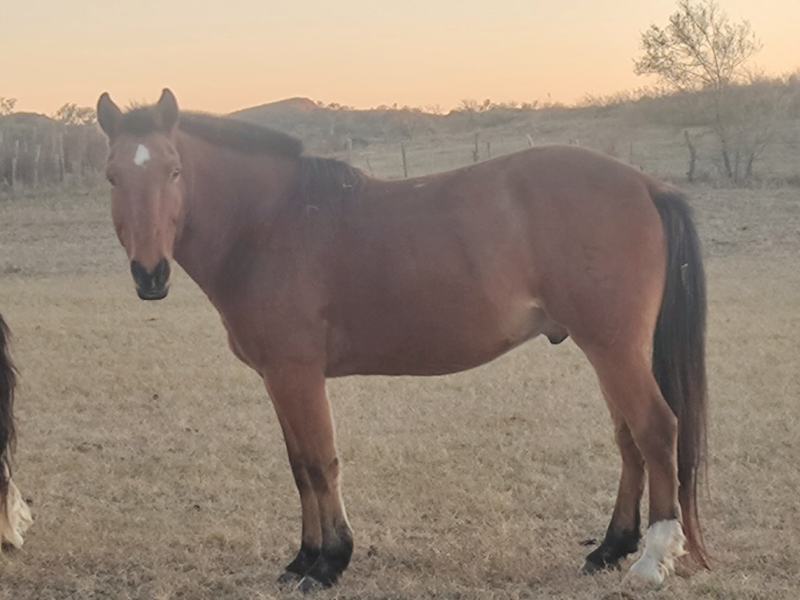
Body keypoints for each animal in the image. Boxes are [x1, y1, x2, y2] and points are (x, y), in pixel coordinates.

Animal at [96, 89, 708, 591]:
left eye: (174, 171)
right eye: (112, 177)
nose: (149, 275)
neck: (269, 224)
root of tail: (644, 183)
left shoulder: (297, 374)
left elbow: (320, 462)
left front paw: (328, 562)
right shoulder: (278, 378)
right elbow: (299, 465)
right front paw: (303, 558)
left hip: (613, 348)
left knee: (657, 430)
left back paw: (651, 559)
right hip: (607, 350)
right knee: (629, 439)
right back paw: (609, 548)